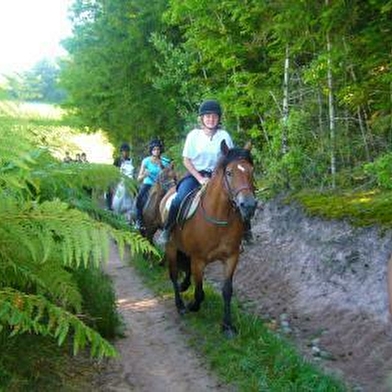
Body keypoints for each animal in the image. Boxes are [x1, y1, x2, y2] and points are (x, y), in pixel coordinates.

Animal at [162, 141, 258, 336]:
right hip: (171, 248)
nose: (248, 205)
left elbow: (227, 290)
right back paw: (180, 305)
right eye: (229, 173)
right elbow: (199, 291)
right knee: (173, 274)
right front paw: (192, 305)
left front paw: (227, 326)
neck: (219, 218)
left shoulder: (231, 258)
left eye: (251, 171)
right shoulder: (199, 260)